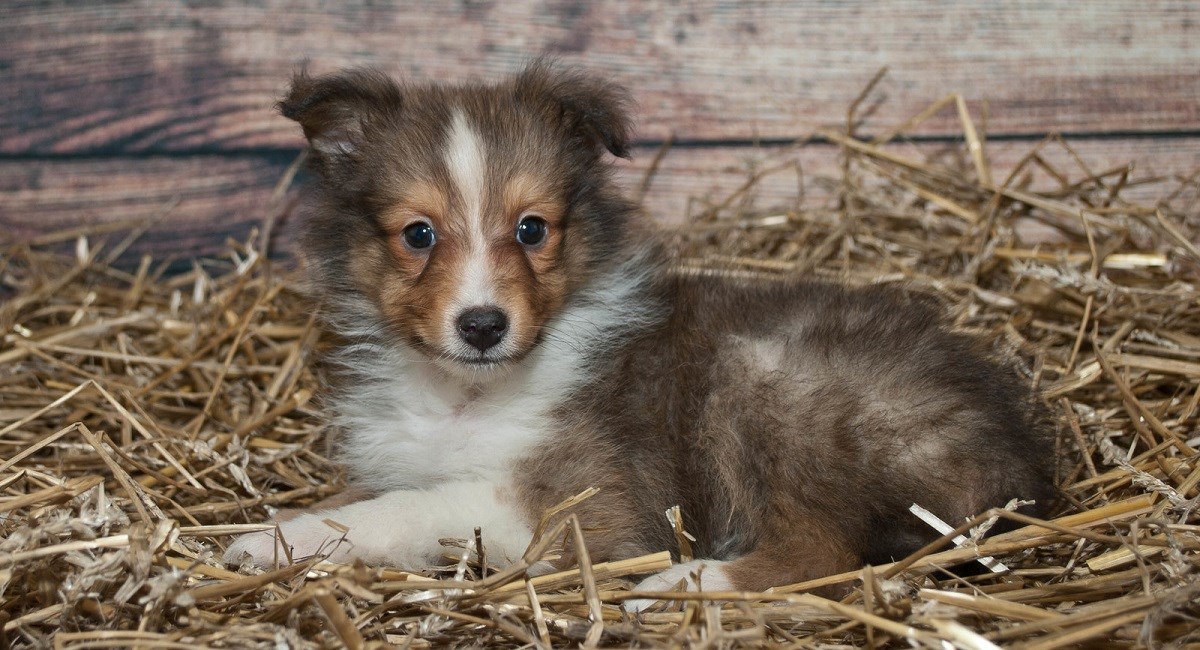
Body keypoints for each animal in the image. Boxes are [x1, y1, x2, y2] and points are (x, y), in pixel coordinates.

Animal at [223, 62, 1051, 606]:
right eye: (418, 234)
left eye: (532, 229)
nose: (483, 325)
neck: (469, 392)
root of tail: (1016, 459)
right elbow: (364, 498)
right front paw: (283, 533)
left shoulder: (579, 505)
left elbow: (408, 509)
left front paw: (265, 541)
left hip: (765, 380)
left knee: (824, 554)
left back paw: (683, 583)